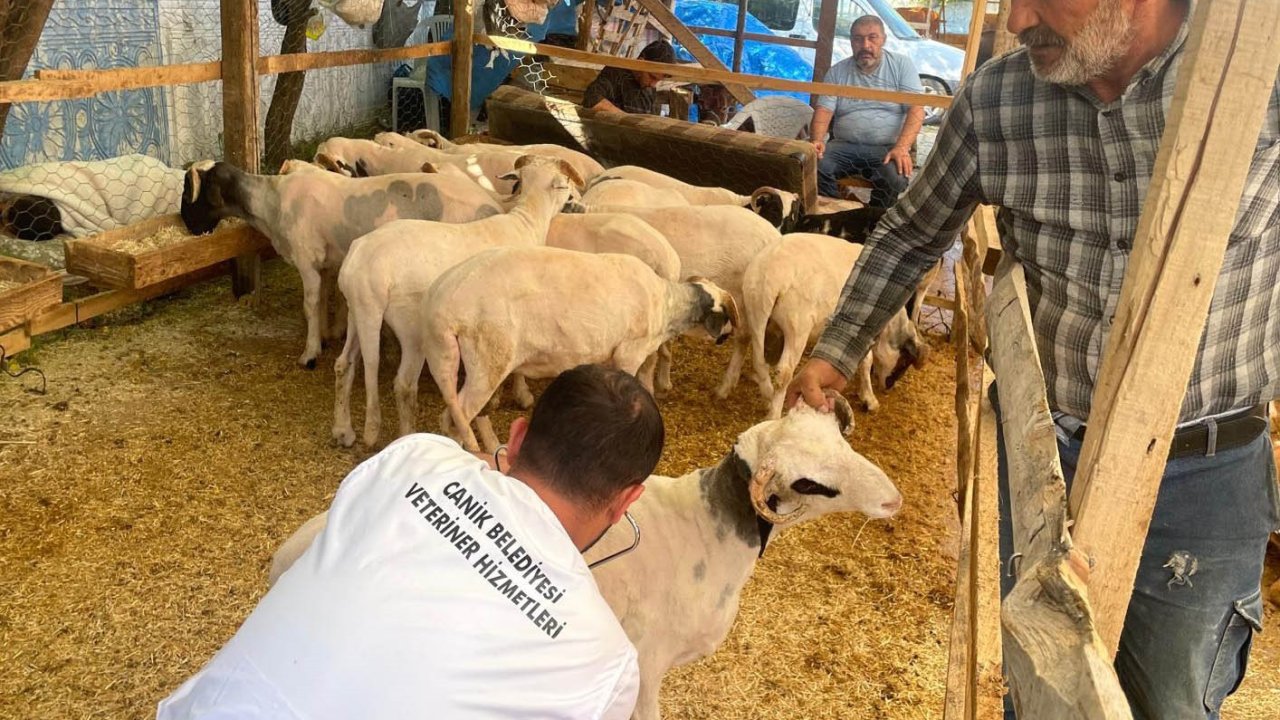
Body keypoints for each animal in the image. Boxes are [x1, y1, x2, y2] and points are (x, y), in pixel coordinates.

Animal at [181, 160, 509, 366]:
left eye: (191, 190)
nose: (188, 226)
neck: (270, 203)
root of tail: (492, 205)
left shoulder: (306, 260)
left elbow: (310, 305)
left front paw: (310, 353)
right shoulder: (324, 263)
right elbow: (325, 298)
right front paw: (327, 336)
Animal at [335, 156, 586, 445]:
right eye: (566, 183)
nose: (578, 202)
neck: (527, 222)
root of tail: (364, 268)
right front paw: (519, 394)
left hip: (357, 310)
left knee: (344, 364)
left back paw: (343, 431)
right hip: (409, 325)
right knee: (404, 384)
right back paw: (407, 433)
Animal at [419, 245, 742, 448]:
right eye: (726, 315)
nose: (727, 336)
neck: (667, 305)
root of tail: (441, 306)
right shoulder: (629, 353)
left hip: (447, 358)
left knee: (454, 417)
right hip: (488, 359)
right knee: (458, 416)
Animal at [742, 233, 931, 417]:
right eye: (905, 361)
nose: (889, 387)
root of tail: (770, 276)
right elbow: (866, 361)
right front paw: (869, 398)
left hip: (756, 314)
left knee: (759, 362)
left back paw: (768, 398)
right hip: (797, 325)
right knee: (784, 372)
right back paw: (774, 414)